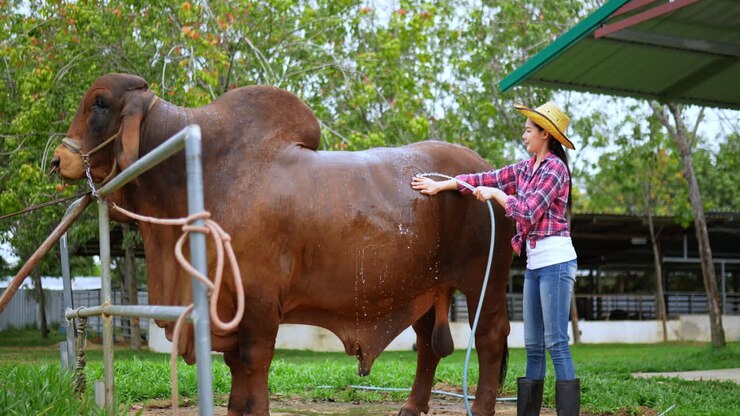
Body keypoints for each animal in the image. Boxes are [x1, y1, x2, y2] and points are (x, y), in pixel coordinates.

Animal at [51, 73, 514, 416]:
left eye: (99, 103)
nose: (59, 159)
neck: (203, 171)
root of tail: (487, 172)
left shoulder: (257, 300)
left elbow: (253, 361)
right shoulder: (229, 303)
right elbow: (236, 365)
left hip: (483, 281)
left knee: (490, 338)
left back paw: (482, 407)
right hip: (425, 288)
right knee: (430, 346)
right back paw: (411, 407)